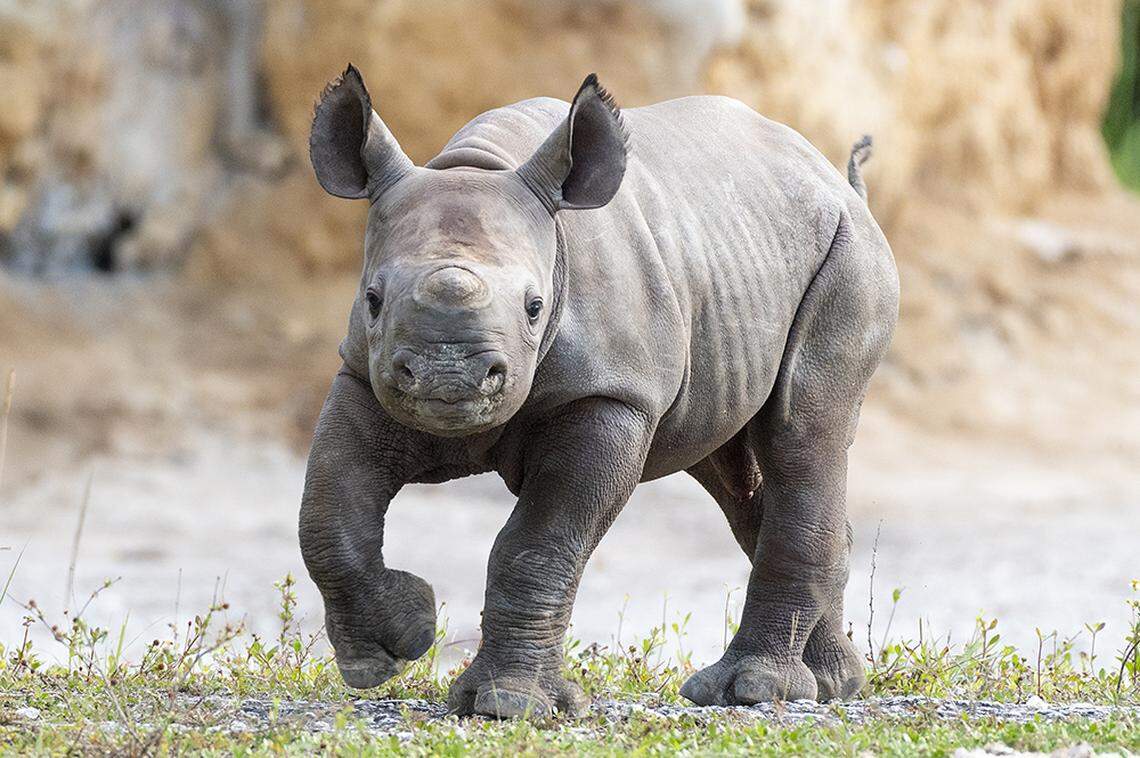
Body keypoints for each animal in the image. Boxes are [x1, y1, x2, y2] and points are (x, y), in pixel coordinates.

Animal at [299, 65, 898, 718]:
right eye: (373, 299)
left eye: (535, 307)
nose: (448, 378)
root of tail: (837, 182)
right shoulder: (362, 373)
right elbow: (328, 514)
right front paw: (394, 645)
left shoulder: (612, 395)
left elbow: (538, 545)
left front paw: (508, 704)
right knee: (738, 474)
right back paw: (831, 684)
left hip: (848, 257)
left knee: (800, 436)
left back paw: (750, 691)